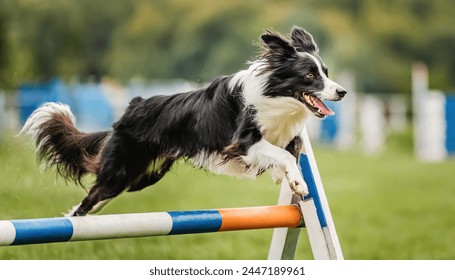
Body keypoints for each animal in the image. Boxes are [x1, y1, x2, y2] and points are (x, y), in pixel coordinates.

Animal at [21, 26, 348, 215]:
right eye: (310, 75)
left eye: (326, 72)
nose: (342, 91)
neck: (278, 97)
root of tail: (131, 108)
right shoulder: (243, 141)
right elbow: (284, 154)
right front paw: (297, 182)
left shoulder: (283, 134)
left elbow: (292, 147)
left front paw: (285, 178)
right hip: (121, 171)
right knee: (88, 200)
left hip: (140, 177)